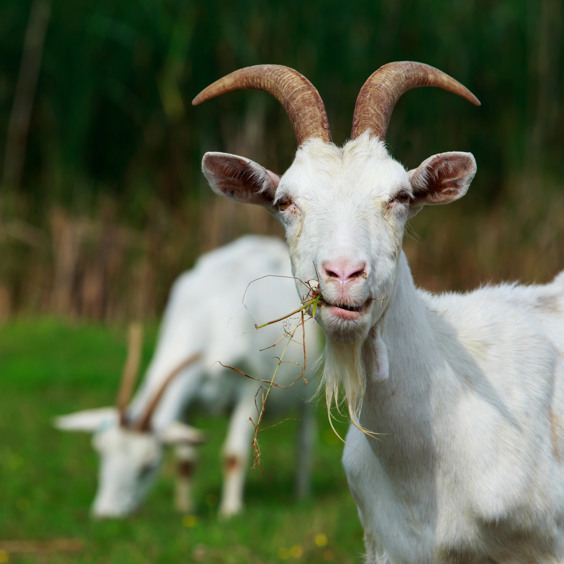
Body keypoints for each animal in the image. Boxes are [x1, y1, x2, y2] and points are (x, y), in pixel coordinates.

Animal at [55, 235, 320, 520]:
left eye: (148, 466)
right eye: (101, 453)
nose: (105, 515)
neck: (206, 314)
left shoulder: (251, 388)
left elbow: (234, 454)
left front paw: (230, 511)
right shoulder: (189, 401)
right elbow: (185, 461)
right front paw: (184, 509)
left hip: (308, 390)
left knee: (304, 441)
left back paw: (302, 495)